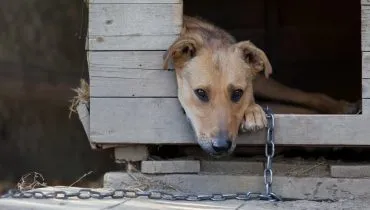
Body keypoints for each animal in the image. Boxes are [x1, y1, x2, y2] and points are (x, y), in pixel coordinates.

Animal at [163, 16, 360, 156]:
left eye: (237, 93)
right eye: (201, 93)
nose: (221, 146)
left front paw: (253, 111)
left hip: (266, 83)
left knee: (306, 96)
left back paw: (343, 109)